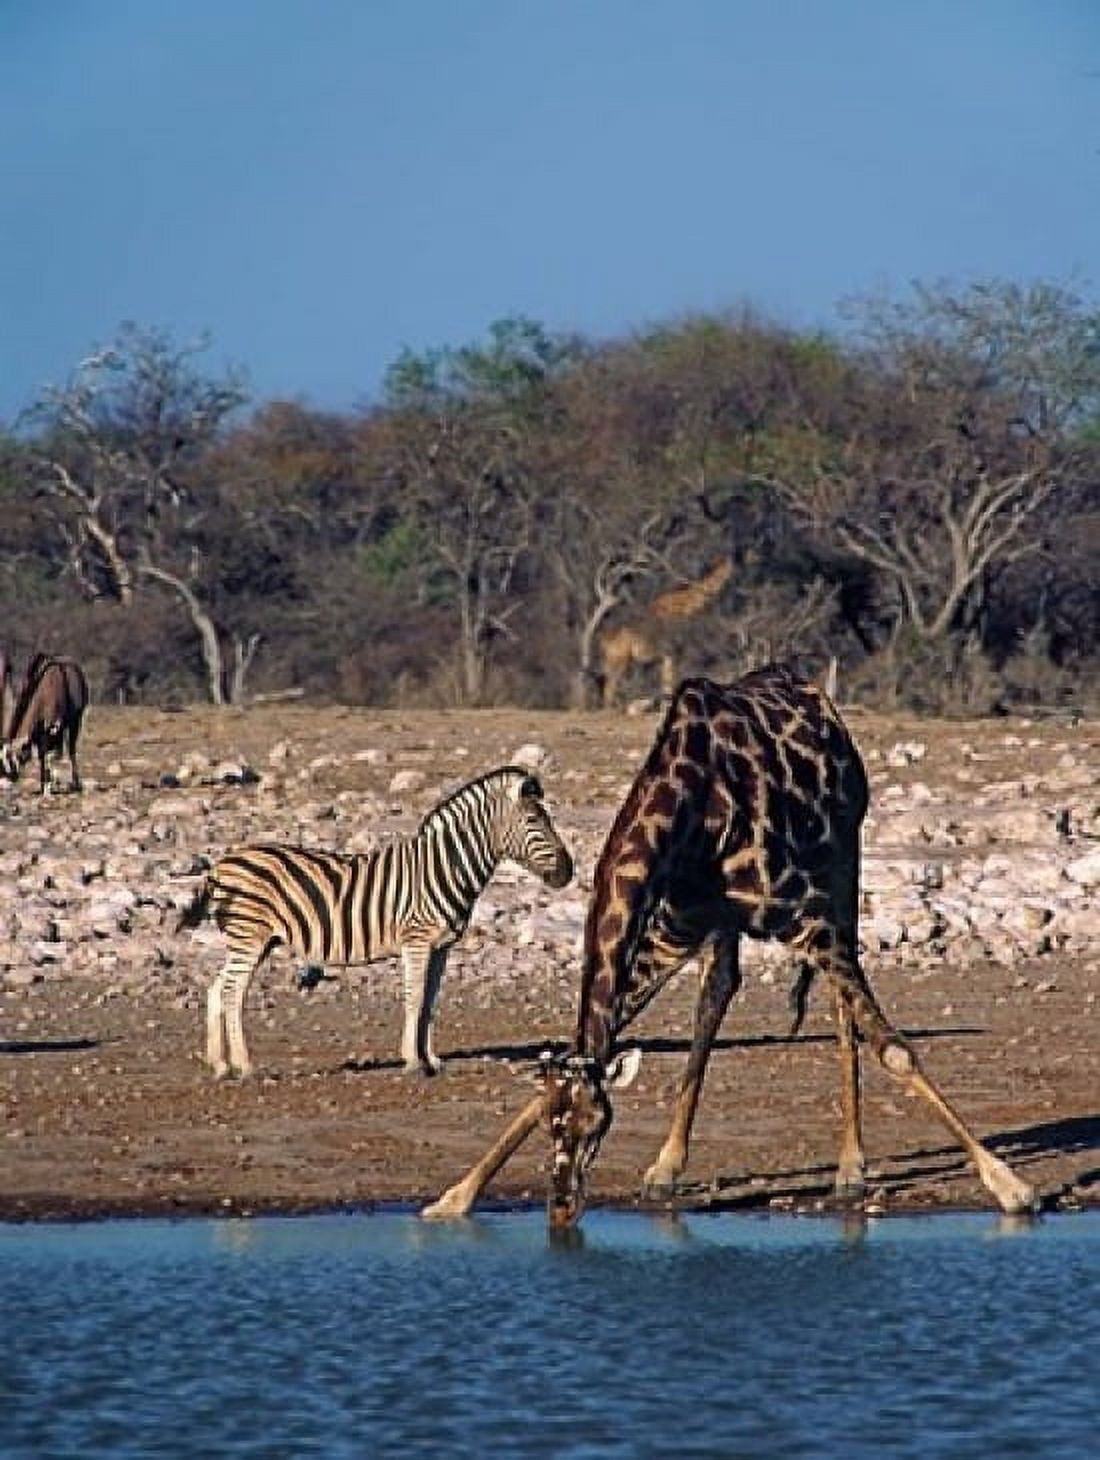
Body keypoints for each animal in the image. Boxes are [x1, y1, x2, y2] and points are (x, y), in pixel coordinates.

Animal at [176, 765, 574, 1079]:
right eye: (534, 821)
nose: (569, 873)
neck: (444, 867)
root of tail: (220, 865)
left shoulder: (441, 947)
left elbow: (431, 1001)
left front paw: (431, 1059)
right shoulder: (416, 939)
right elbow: (415, 998)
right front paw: (413, 1062)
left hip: (255, 941)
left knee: (217, 990)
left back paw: (221, 1065)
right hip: (250, 936)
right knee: (232, 992)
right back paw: (245, 1067)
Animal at [422, 663, 1036, 1225]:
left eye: (599, 1122)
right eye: (553, 1126)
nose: (562, 1208)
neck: (690, 809)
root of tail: (813, 692)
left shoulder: (805, 918)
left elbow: (894, 1049)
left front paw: (1010, 1186)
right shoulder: (674, 931)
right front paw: (454, 1197)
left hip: (843, 863)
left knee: (842, 1009)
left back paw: (850, 1168)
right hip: (721, 924)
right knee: (717, 994)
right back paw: (667, 1167)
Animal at [597, 557, 733, 707]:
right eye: (723, 567)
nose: (729, 573)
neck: (687, 606)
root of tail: (603, 637)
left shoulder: (668, 654)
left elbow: (667, 683)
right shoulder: (673, 652)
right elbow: (670, 682)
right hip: (619, 659)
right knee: (609, 686)